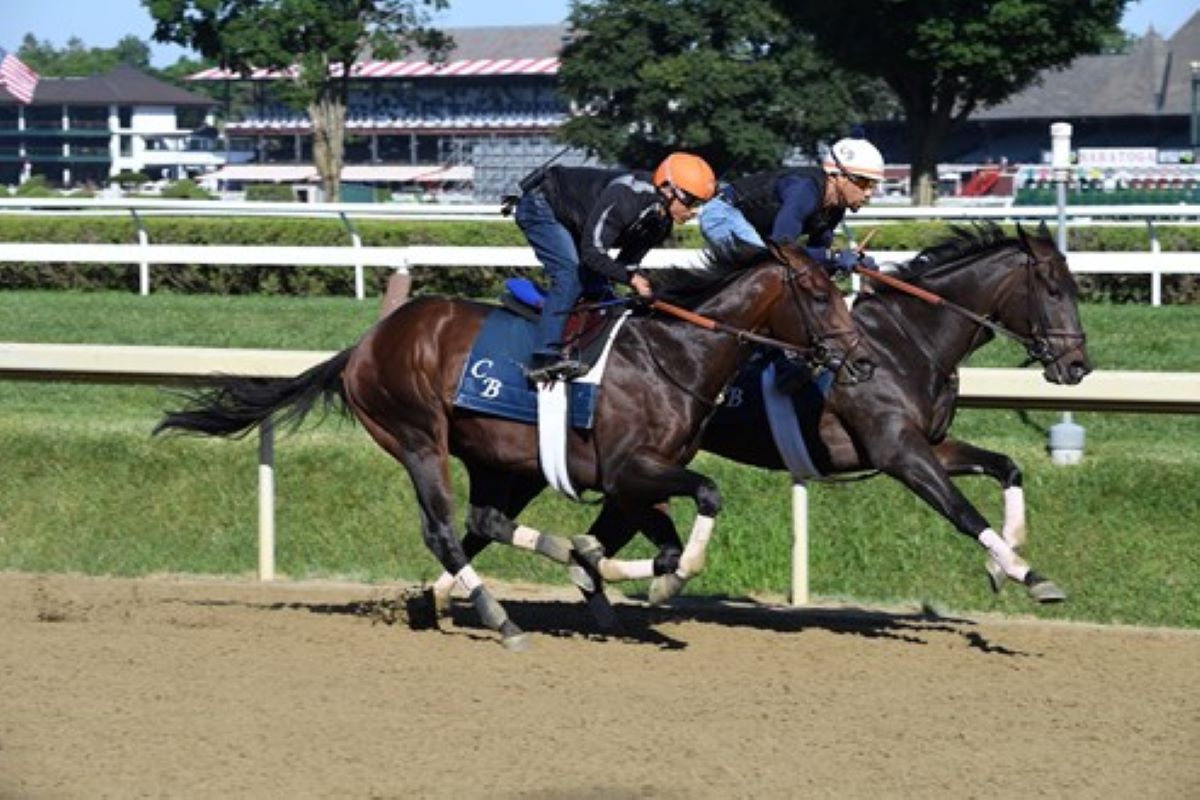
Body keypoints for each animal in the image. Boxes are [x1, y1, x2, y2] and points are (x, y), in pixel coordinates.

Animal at [157, 241, 873, 647]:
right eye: (817, 293)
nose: (861, 360)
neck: (674, 353)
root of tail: (364, 344)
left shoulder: (638, 477)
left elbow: (664, 541)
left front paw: (609, 573)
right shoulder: (630, 469)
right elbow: (707, 497)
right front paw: (623, 576)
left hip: (503, 459)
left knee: (485, 520)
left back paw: (511, 574)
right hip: (418, 437)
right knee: (444, 530)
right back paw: (499, 618)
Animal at [564, 221, 1099, 618]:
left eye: (1076, 288)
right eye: (1053, 289)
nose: (1077, 366)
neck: (907, 343)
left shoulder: (930, 444)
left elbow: (1008, 466)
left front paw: (1005, 561)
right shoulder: (899, 451)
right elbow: (963, 512)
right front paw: (1028, 574)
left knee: (603, 530)